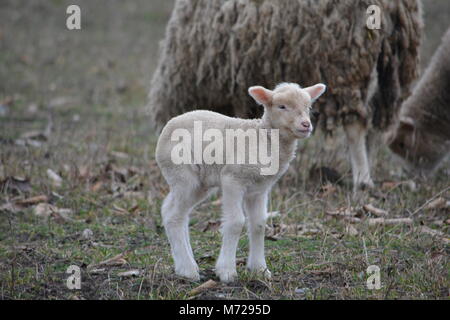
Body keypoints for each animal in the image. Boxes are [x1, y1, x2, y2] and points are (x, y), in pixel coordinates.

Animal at [156, 82, 326, 282]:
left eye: (309, 107)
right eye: (282, 106)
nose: (306, 124)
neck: (264, 138)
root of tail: (167, 127)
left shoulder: (259, 188)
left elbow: (259, 224)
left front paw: (260, 269)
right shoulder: (233, 179)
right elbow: (236, 222)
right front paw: (227, 271)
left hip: (198, 183)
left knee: (171, 210)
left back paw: (186, 264)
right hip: (182, 174)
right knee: (174, 216)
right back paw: (188, 270)